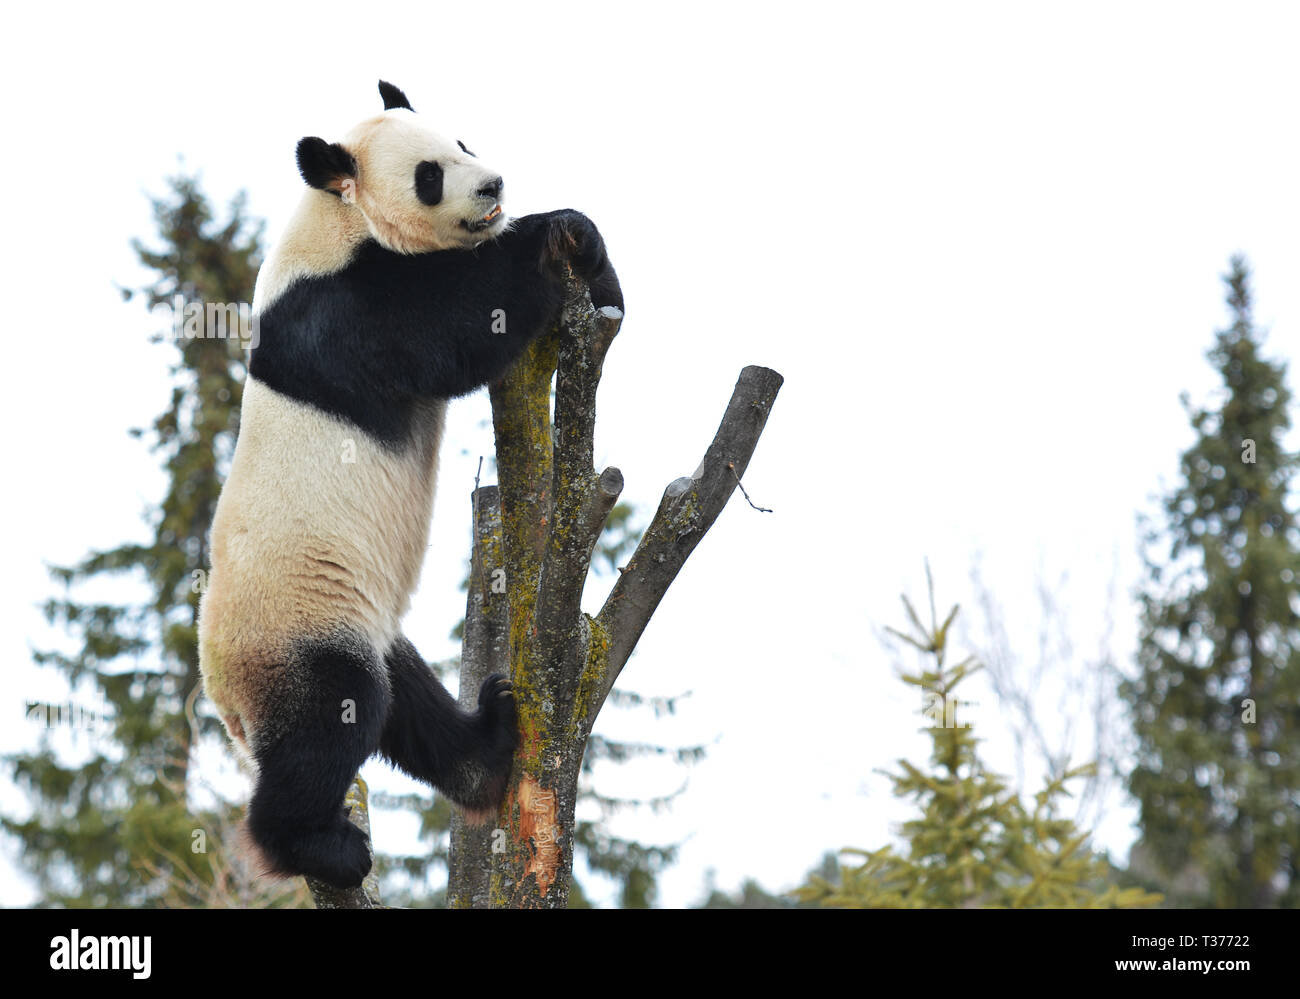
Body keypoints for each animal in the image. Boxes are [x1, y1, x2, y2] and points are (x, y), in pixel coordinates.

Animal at [197, 80, 622, 889]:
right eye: (430, 174)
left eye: (462, 141)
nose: (492, 185)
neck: (338, 214)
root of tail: (225, 699)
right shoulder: (344, 310)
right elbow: (453, 328)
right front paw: (555, 235)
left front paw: (594, 264)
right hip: (298, 620)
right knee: (336, 715)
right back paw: (320, 846)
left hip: (364, 622)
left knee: (409, 705)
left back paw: (488, 751)